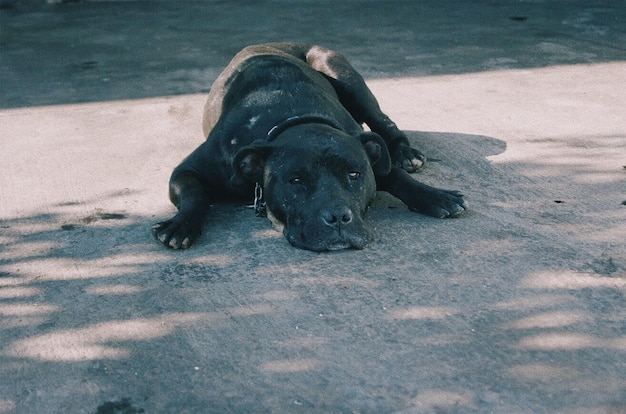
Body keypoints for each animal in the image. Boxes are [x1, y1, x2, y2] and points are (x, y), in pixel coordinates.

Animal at [151, 42, 464, 251]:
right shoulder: (188, 171)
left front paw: (434, 196)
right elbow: (195, 195)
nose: (338, 218)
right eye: (296, 181)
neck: (292, 117)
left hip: (343, 74)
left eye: (355, 175)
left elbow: (396, 177)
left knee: (383, 122)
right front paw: (181, 224)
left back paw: (404, 153)